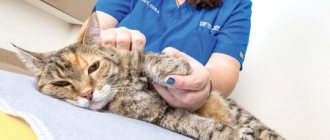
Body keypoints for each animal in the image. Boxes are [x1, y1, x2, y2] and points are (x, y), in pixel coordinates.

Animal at [14, 13, 284, 140]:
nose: (88, 94)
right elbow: (196, 125)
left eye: (93, 67)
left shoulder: (133, 56)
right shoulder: (159, 114)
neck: (121, 86)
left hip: (243, 114)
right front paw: (230, 133)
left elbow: (146, 56)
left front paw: (173, 66)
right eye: (62, 83)